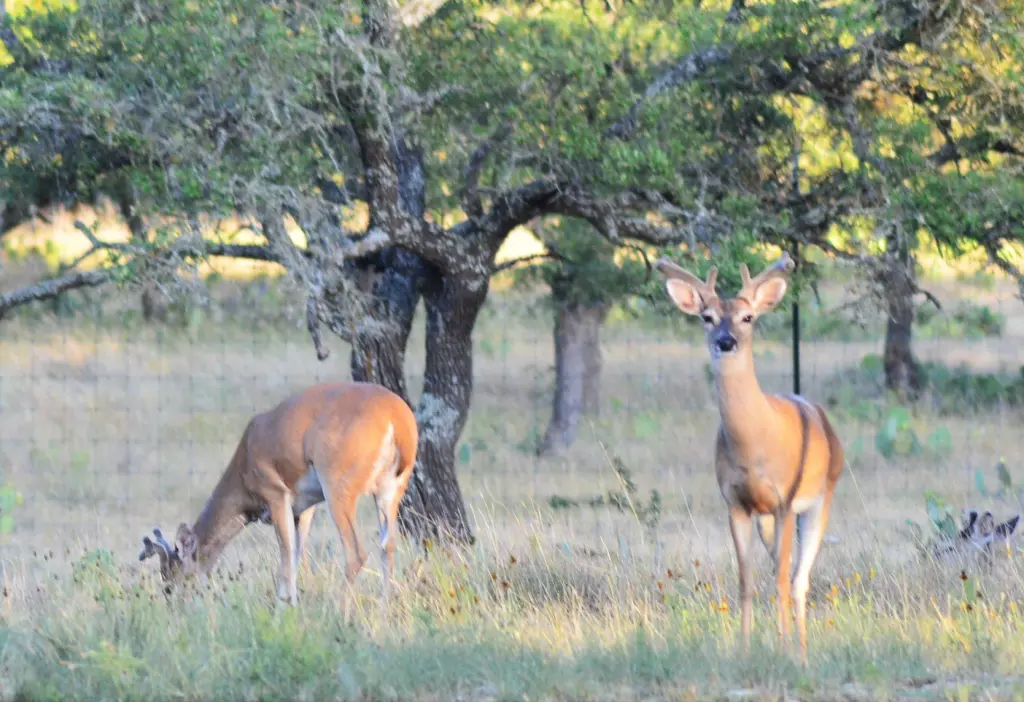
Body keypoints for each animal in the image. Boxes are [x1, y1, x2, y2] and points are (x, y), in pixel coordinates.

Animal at [140, 382, 419, 605]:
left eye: (173, 574)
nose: (174, 603)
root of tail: (398, 421)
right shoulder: (305, 507)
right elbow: (296, 560)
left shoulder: (275, 493)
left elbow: (285, 563)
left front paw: (283, 611)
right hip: (391, 490)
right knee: (388, 546)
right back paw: (383, 611)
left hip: (338, 484)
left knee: (356, 552)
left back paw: (340, 610)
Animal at [659, 252, 843, 667]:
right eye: (706, 316)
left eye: (748, 317)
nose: (726, 341)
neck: (754, 446)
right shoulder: (736, 504)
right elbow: (745, 580)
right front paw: (743, 651)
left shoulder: (785, 501)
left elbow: (781, 579)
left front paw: (785, 651)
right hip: (767, 520)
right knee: (783, 569)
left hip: (820, 499)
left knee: (798, 578)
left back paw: (801, 651)